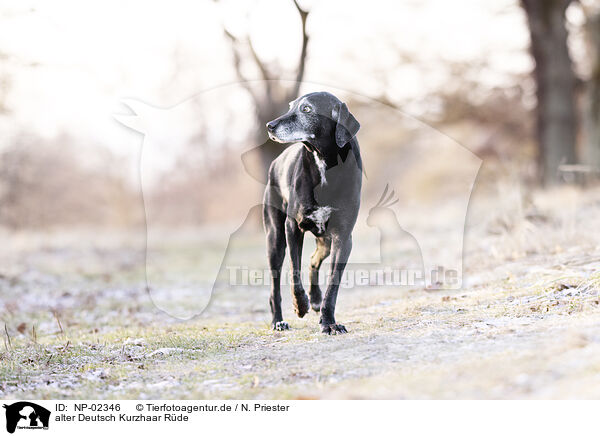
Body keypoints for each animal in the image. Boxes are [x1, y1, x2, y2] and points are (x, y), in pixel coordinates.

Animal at [262, 92, 360, 336]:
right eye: (291, 106)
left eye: (306, 109)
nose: (269, 126)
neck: (324, 161)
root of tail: (275, 162)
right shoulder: (292, 228)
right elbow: (294, 273)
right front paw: (300, 305)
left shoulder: (343, 238)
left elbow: (333, 285)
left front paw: (329, 322)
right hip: (275, 239)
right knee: (275, 286)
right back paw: (279, 321)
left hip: (325, 241)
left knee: (313, 260)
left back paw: (315, 299)